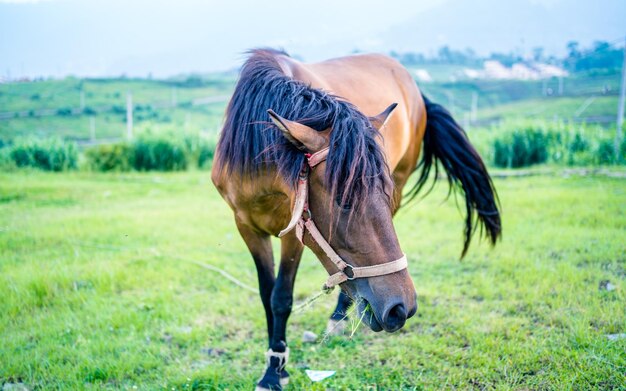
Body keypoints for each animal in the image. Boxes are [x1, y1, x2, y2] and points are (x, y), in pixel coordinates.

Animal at [210, 49, 498, 391]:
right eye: (344, 200)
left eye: (383, 195)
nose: (402, 307)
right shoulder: (246, 226)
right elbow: (268, 296)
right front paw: (273, 366)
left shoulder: (294, 233)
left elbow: (281, 297)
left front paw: (275, 371)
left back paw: (339, 317)